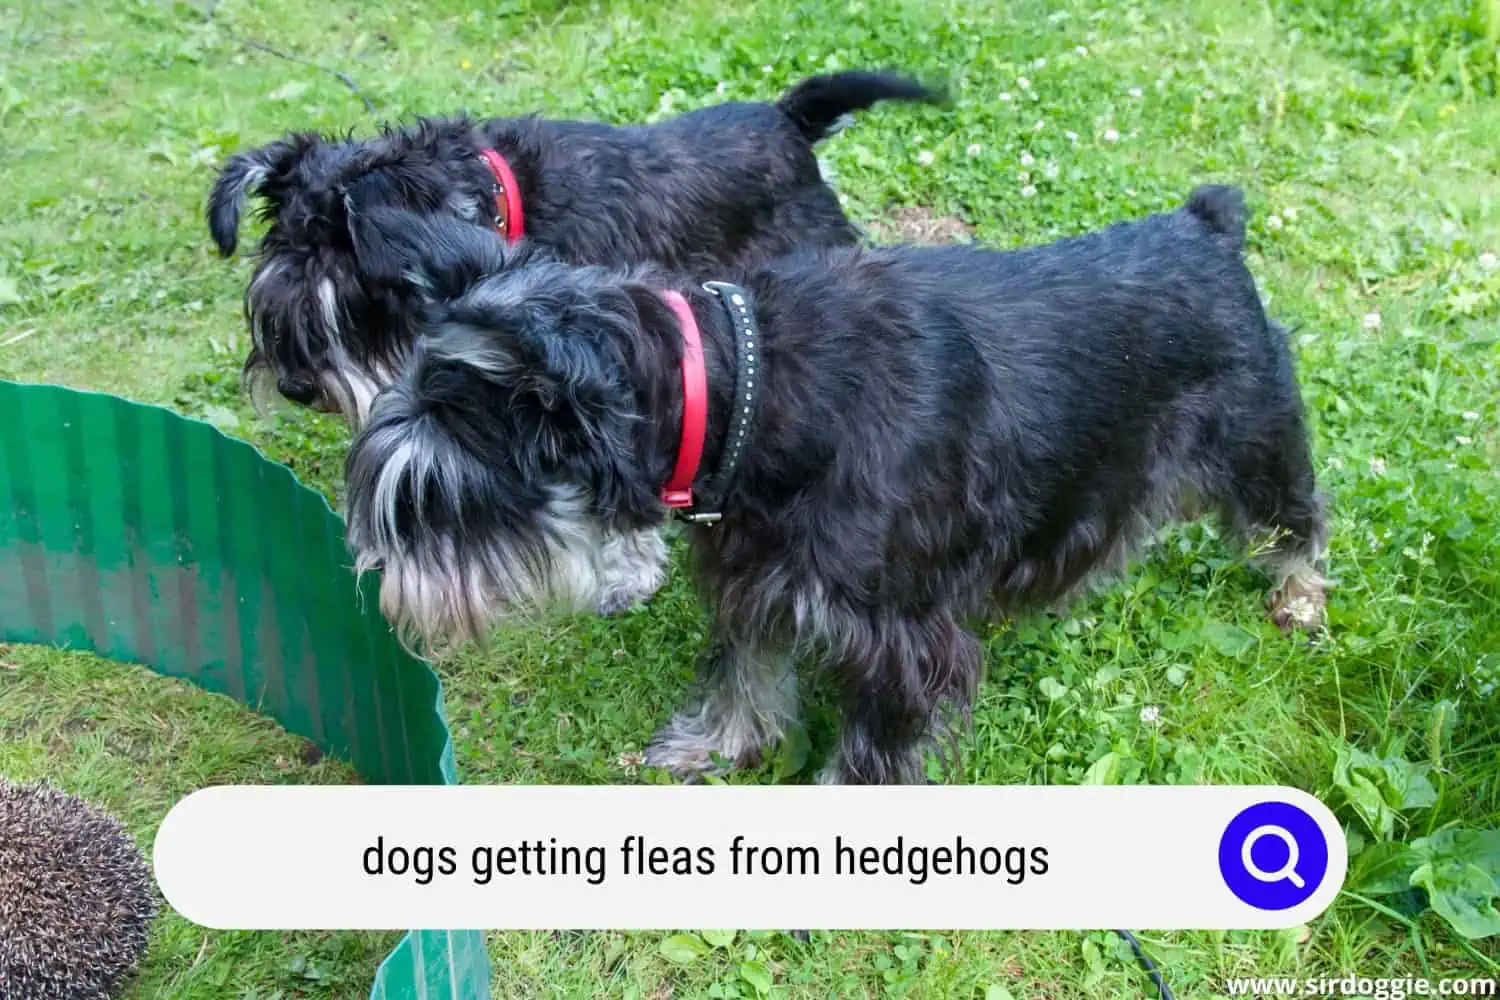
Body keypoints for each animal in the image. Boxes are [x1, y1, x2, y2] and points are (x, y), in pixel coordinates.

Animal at [337, 185, 1326, 779]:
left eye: (432, 498)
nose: (378, 597)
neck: (746, 391)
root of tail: (1206, 225)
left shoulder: (901, 640)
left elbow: (872, 744)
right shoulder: (756, 579)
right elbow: (744, 672)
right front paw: (715, 743)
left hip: (1256, 445)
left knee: (1297, 520)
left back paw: (1301, 599)